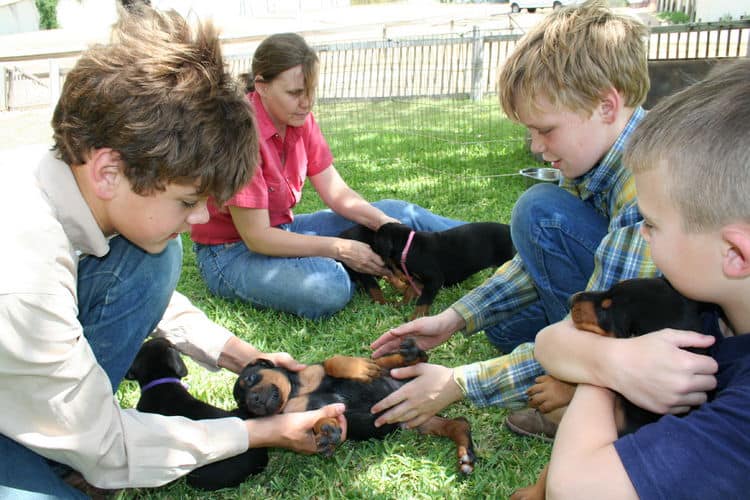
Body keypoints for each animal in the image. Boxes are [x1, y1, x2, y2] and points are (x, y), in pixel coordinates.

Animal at [234, 336, 476, 472]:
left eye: (250, 378)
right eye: (242, 404)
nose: (253, 400)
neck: (295, 392)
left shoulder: (316, 370)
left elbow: (332, 362)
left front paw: (357, 367)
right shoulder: (298, 415)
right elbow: (319, 420)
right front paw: (326, 429)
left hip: (390, 374)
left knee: (402, 360)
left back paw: (409, 354)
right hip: (416, 419)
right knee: (458, 423)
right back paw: (465, 455)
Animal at [342, 222, 516, 316]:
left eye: (376, 240)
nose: (366, 247)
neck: (409, 246)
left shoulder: (434, 279)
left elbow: (423, 301)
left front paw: (415, 318)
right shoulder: (419, 279)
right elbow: (409, 291)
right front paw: (401, 305)